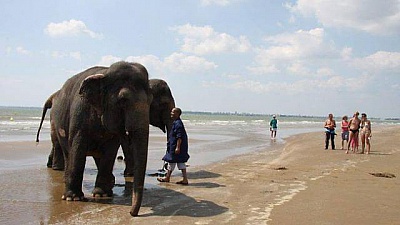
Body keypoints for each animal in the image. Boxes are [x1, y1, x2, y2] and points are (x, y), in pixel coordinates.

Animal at [41, 61, 152, 216]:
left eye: (150, 101)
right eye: (123, 100)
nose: (132, 213)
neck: (105, 73)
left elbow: (110, 152)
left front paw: (101, 194)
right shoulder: (80, 112)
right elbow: (78, 146)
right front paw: (73, 199)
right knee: (68, 152)